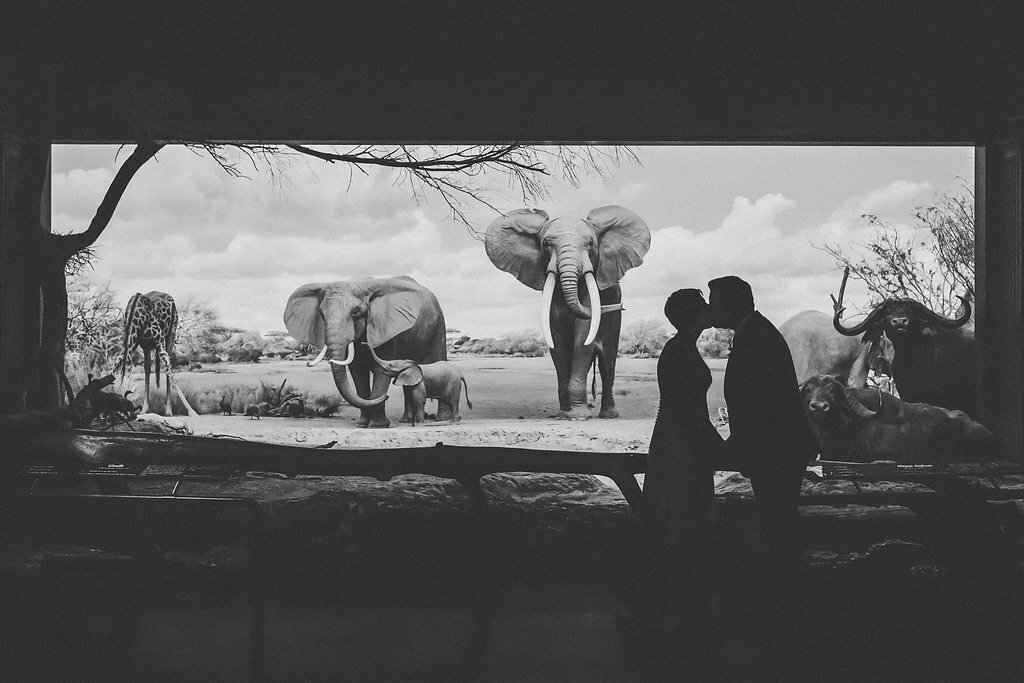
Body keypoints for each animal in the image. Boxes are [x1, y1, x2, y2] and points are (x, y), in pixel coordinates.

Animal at [286, 276, 450, 428]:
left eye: (355, 312)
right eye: (321, 314)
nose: (387, 396)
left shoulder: (387, 331)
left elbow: (380, 370)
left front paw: (377, 426)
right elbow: (357, 372)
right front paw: (362, 424)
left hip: (438, 326)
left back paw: (440, 419)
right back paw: (406, 420)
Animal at [485, 205, 647, 419]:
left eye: (590, 243)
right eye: (545, 243)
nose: (621, 306)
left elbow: (583, 340)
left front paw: (578, 416)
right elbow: (557, 344)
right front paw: (565, 413)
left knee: (607, 362)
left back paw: (609, 415)